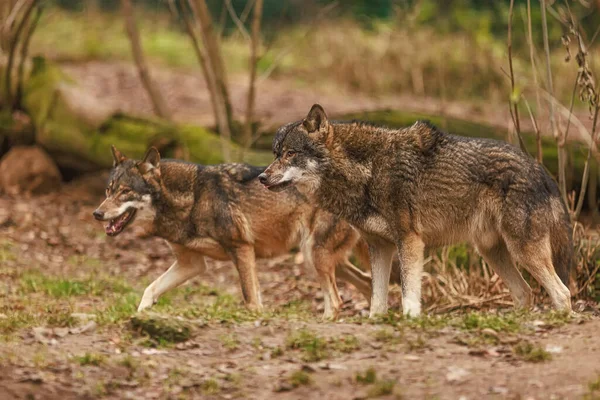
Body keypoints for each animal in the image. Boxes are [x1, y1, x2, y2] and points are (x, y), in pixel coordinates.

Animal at [91, 145, 372, 318]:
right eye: (108, 190)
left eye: (125, 192)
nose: (97, 214)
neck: (191, 199)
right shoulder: (191, 264)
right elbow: (149, 289)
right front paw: (139, 315)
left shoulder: (242, 248)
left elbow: (251, 300)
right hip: (320, 260)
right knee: (367, 283)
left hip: (314, 257)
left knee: (335, 302)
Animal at [258, 104, 576, 318]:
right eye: (275, 154)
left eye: (291, 154)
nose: (261, 177)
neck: (367, 171)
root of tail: (542, 171)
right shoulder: (380, 246)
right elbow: (377, 301)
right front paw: (377, 322)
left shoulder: (409, 241)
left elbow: (409, 296)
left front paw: (410, 322)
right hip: (492, 251)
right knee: (525, 293)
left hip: (522, 251)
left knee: (562, 294)